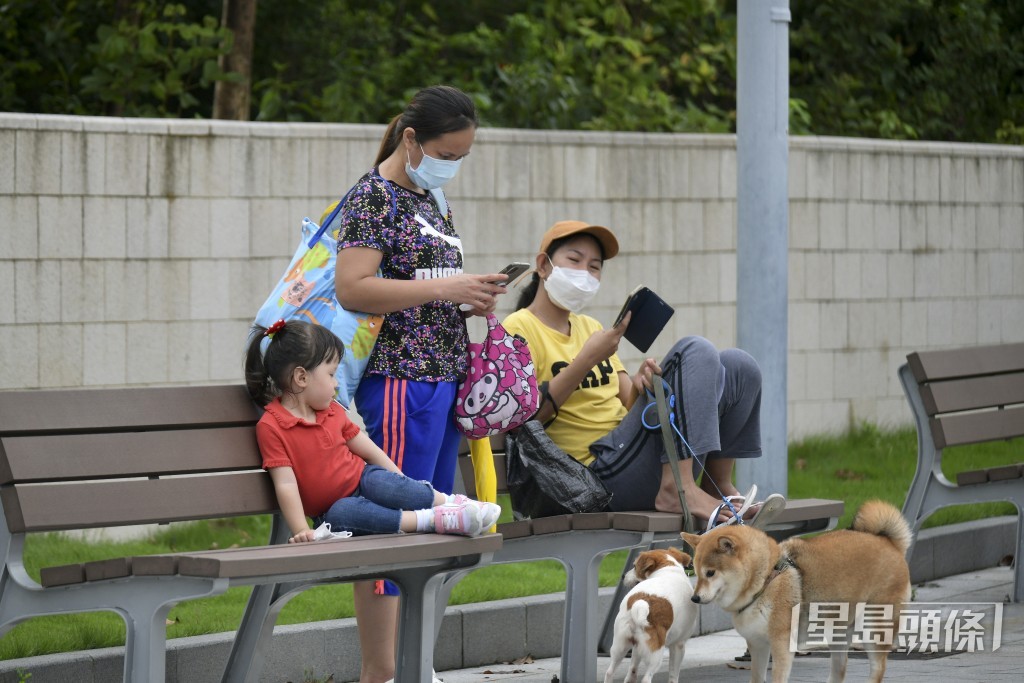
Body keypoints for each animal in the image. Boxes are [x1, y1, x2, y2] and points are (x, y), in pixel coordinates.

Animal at [602, 548, 700, 683]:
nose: (622, 576)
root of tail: (640, 604)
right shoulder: (678, 645)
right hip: (656, 654)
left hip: (620, 645)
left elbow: (632, 669)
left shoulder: (637, 647)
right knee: (646, 678)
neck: (668, 568)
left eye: (634, 566)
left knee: (610, 672)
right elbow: (673, 675)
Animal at [684, 497, 909, 683]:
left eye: (710, 573)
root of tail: (888, 542)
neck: (765, 581)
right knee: (840, 670)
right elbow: (756, 677)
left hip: (874, 626)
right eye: (696, 572)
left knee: (877, 669)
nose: (694, 598)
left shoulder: (781, 644)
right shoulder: (758, 644)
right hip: (837, 630)